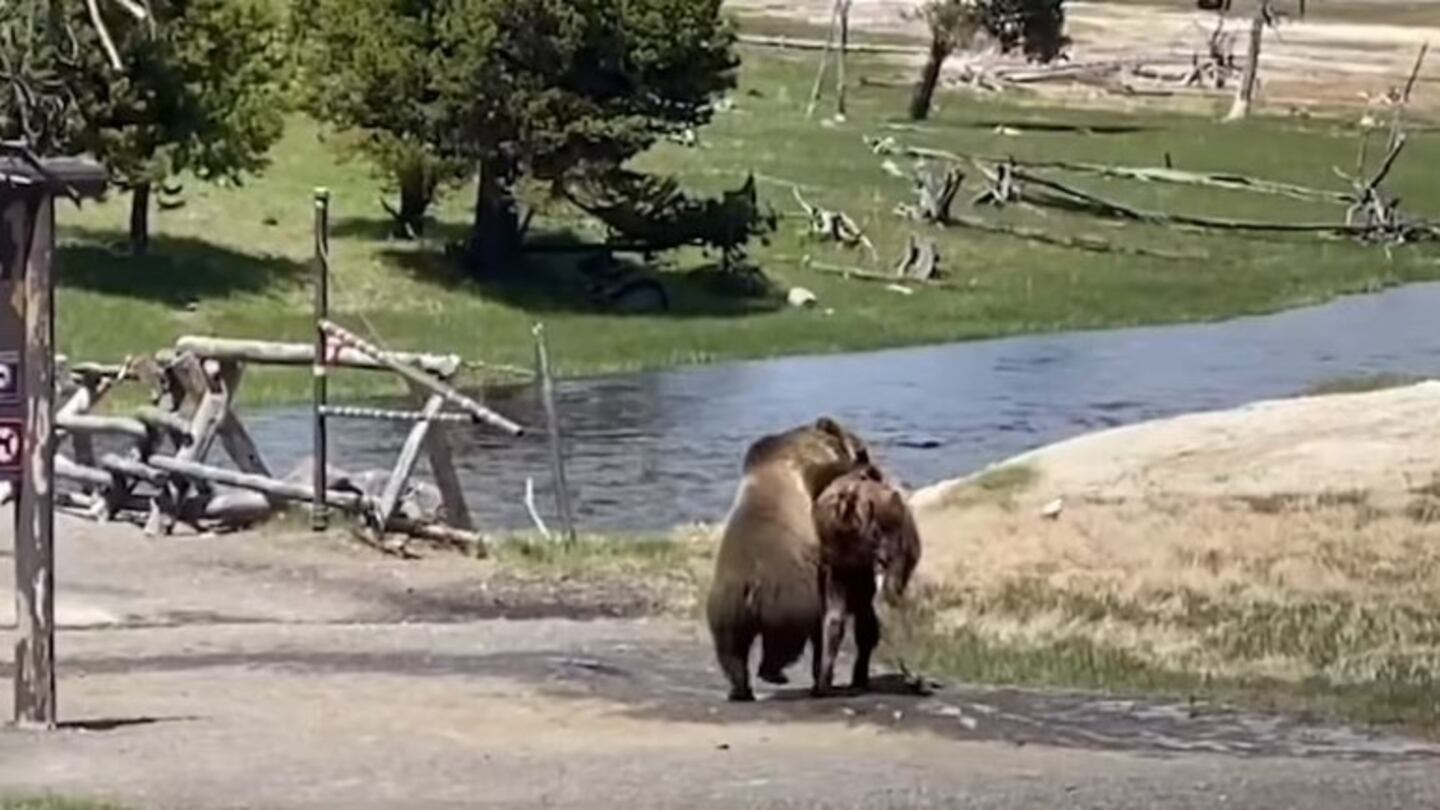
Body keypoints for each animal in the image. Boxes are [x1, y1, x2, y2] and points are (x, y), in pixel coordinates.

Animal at [705, 415, 869, 700]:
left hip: (726, 608)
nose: (863, 449)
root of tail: (750, 585)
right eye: (857, 443)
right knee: (785, 641)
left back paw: (740, 689)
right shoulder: (811, 468)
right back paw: (775, 674)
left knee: (731, 651)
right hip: (790, 596)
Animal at [812, 464, 921, 691]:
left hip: (840, 571)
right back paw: (915, 677)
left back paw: (823, 682)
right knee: (886, 612)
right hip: (883, 569)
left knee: (835, 620)